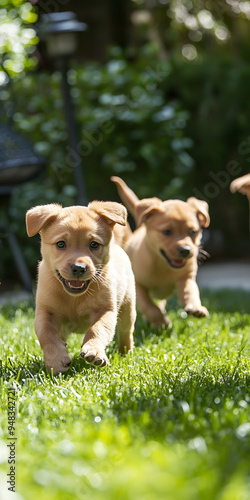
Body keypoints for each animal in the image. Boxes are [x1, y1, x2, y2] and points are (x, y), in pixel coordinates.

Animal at [26, 200, 136, 376]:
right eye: (61, 244)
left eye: (94, 244)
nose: (78, 268)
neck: (74, 297)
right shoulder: (45, 312)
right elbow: (47, 335)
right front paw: (56, 361)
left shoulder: (105, 310)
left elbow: (98, 329)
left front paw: (94, 351)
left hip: (128, 307)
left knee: (126, 332)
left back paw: (126, 353)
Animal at [111, 177, 209, 328]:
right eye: (167, 232)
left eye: (193, 232)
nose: (186, 251)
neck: (162, 264)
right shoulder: (138, 286)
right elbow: (150, 308)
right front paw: (161, 322)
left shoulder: (186, 277)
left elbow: (190, 292)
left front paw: (195, 307)